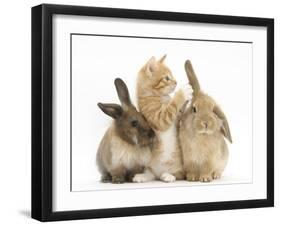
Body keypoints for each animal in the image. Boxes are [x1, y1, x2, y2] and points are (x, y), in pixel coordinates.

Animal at [132, 54, 191, 182]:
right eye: (167, 78)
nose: (176, 82)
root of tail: (160, 172)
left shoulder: (177, 117)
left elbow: (179, 111)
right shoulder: (158, 118)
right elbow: (171, 107)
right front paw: (183, 93)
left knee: (179, 174)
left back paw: (167, 175)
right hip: (149, 164)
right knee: (152, 174)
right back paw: (144, 176)